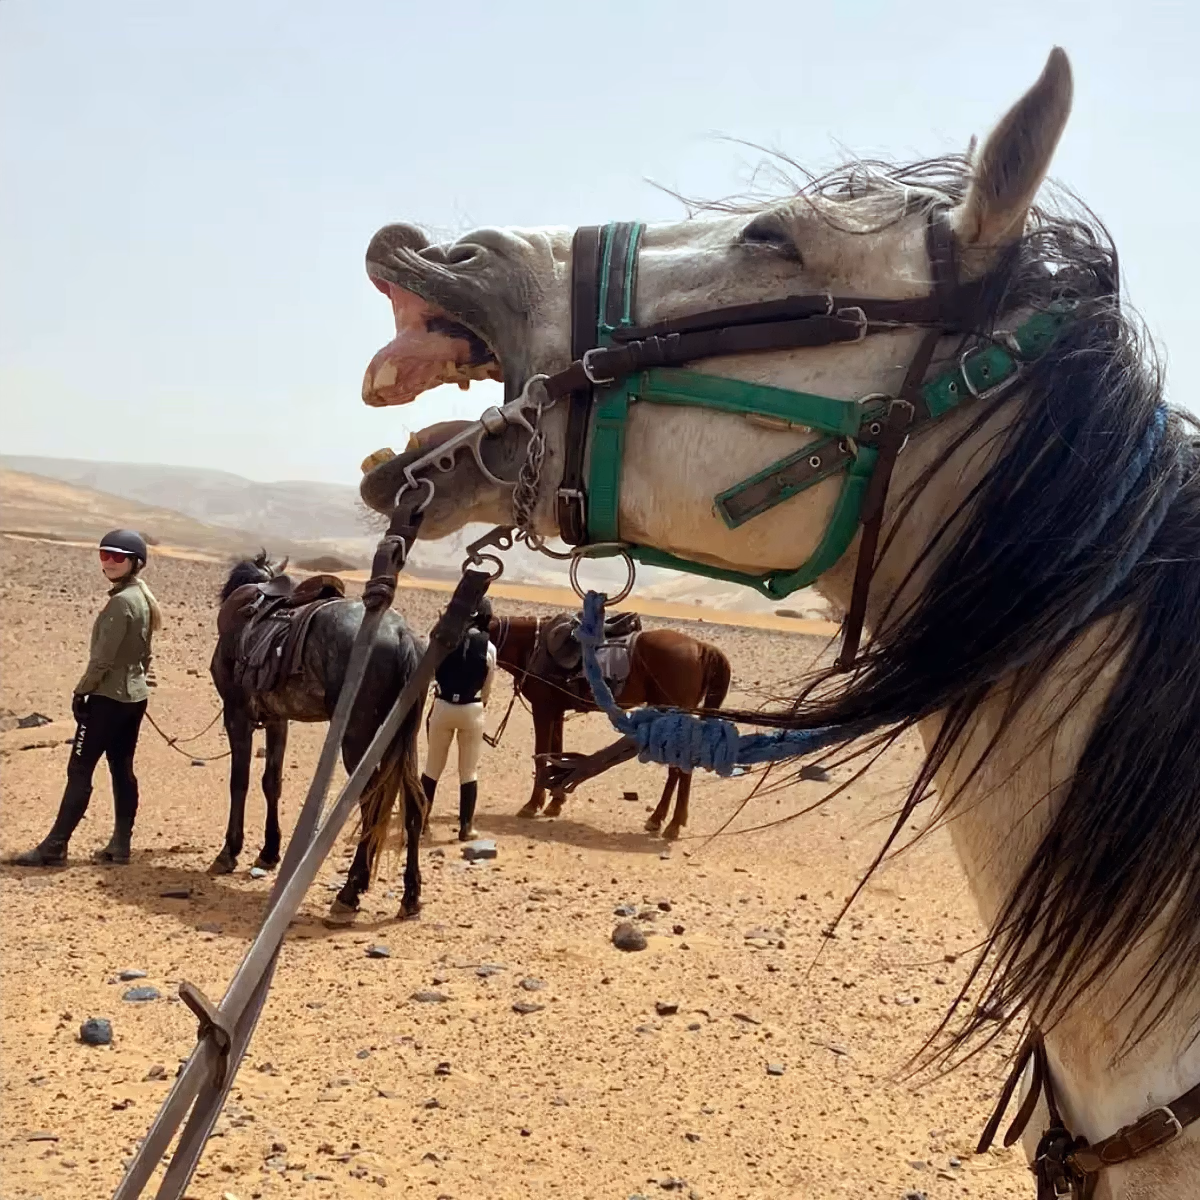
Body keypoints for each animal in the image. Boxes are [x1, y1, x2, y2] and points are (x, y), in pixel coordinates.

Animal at [210, 551, 429, 919]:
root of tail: (401, 636)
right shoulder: (277, 720)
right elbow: (272, 782)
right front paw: (269, 851)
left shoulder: (236, 714)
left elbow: (239, 781)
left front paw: (229, 851)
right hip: (402, 738)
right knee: (413, 805)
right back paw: (410, 895)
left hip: (358, 738)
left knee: (369, 803)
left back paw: (351, 890)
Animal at [488, 612, 731, 838]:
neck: (533, 646)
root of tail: (701, 647)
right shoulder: (556, 712)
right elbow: (556, 753)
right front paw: (555, 801)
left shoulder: (543, 709)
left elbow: (541, 755)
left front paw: (532, 804)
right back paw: (659, 819)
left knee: (680, 767)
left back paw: (671, 824)